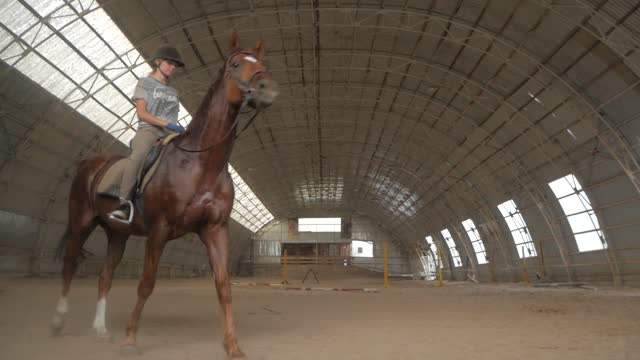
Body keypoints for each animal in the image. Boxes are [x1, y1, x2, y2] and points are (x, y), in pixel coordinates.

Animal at [48, 33, 278, 358]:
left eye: (261, 63)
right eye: (235, 65)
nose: (267, 88)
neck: (200, 163)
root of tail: (90, 163)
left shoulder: (215, 229)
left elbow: (224, 285)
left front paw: (233, 345)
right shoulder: (160, 229)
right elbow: (146, 283)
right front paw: (130, 339)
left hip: (117, 233)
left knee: (105, 275)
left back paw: (100, 330)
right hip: (81, 222)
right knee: (69, 265)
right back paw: (58, 322)